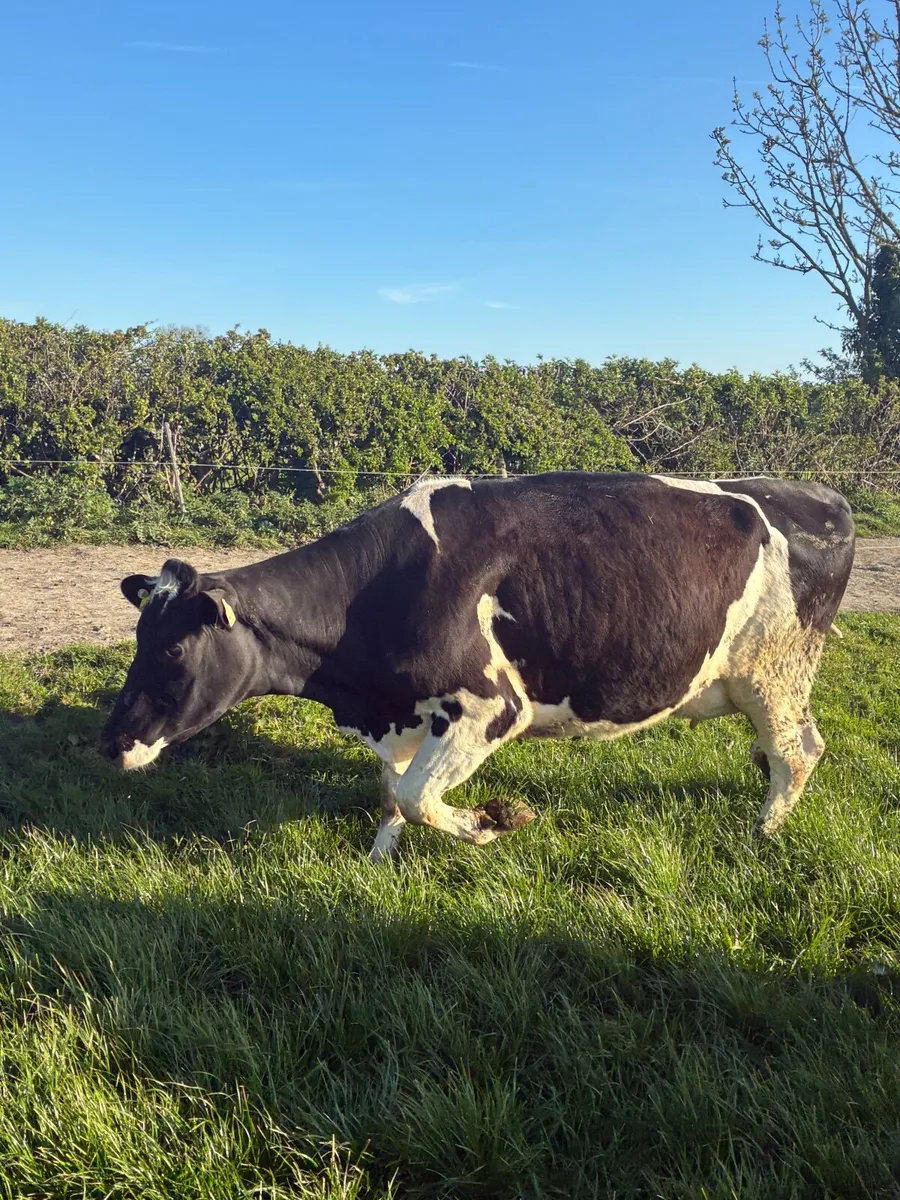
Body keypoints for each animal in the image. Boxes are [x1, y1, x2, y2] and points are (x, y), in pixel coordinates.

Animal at [100, 472, 855, 862]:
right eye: (137, 636)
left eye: (172, 649)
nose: (109, 744)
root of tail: (821, 495)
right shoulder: (401, 715)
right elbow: (393, 791)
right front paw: (377, 860)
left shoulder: (491, 707)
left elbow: (416, 796)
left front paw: (495, 821)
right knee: (787, 749)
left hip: (776, 671)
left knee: (798, 751)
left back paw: (762, 832)